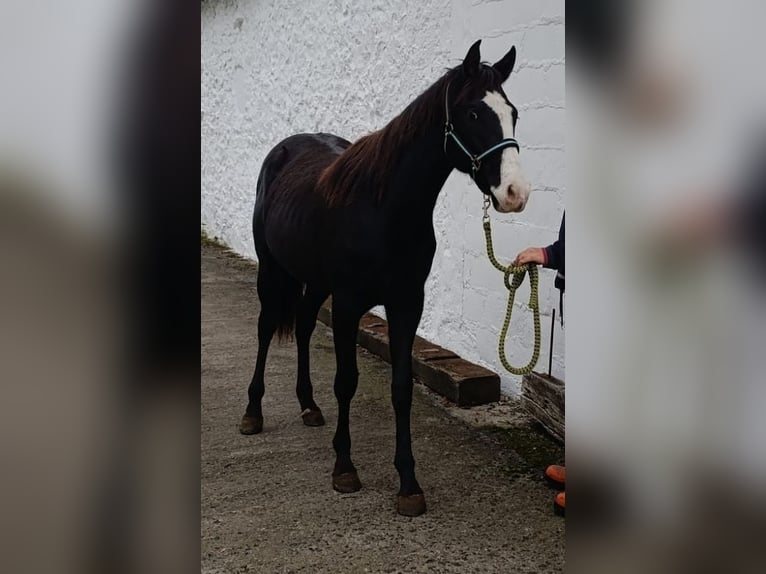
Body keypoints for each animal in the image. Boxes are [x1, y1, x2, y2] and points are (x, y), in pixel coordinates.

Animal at [243, 40, 532, 516]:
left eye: (513, 113)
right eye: (473, 113)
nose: (514, 193)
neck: (384, 210)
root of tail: (282, 151)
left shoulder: (406, 304)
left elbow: (401, 388)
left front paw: (408, 483)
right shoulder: (348, 304)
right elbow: (346, 382)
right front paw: (344, 467)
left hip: (315, 282)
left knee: (302, 328)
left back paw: (308, 405)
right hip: (272, 270)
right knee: (267, 329)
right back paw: (252, 412)